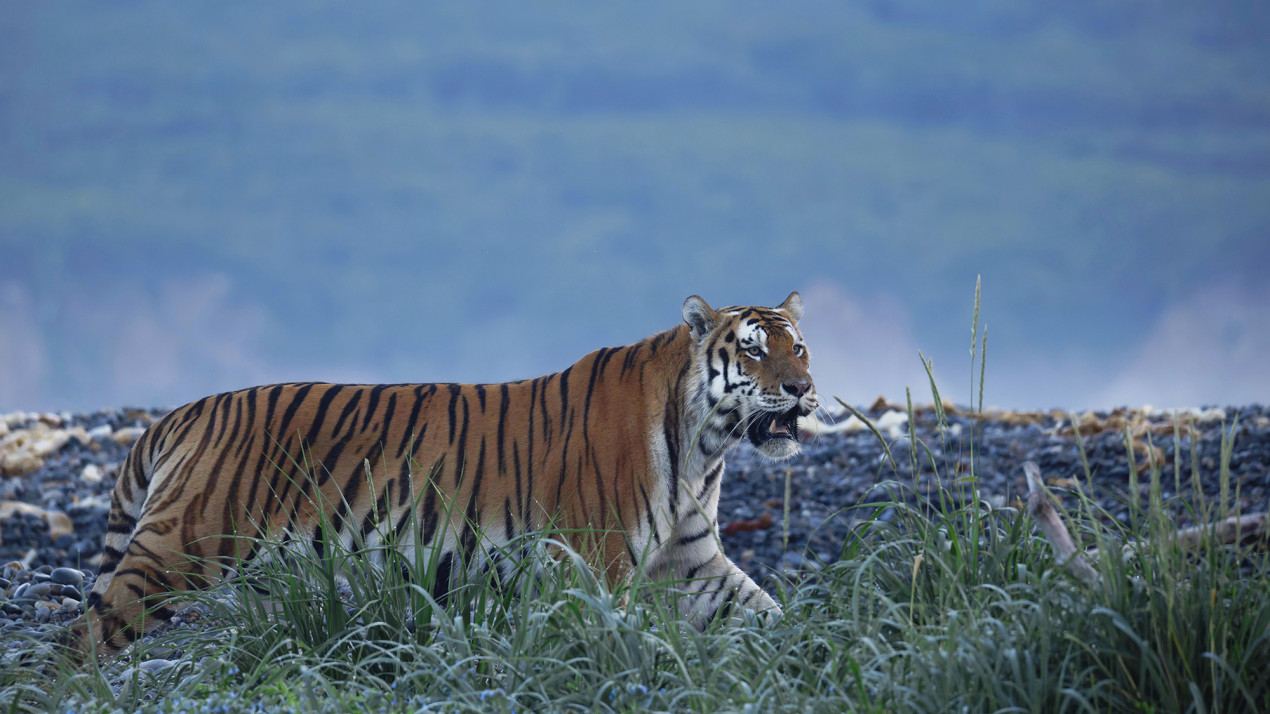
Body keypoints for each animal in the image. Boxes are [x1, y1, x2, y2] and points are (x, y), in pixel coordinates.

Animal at [61, 292, 818, 663]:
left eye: (799, 346)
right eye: (754, 351)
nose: (804, 390)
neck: (704, 448)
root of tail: (186, 411)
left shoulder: (692, 561)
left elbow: (768, 613)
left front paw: (818, 654)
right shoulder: (594, 564)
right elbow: (607, 639)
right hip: (174, 552)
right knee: (77, 641)